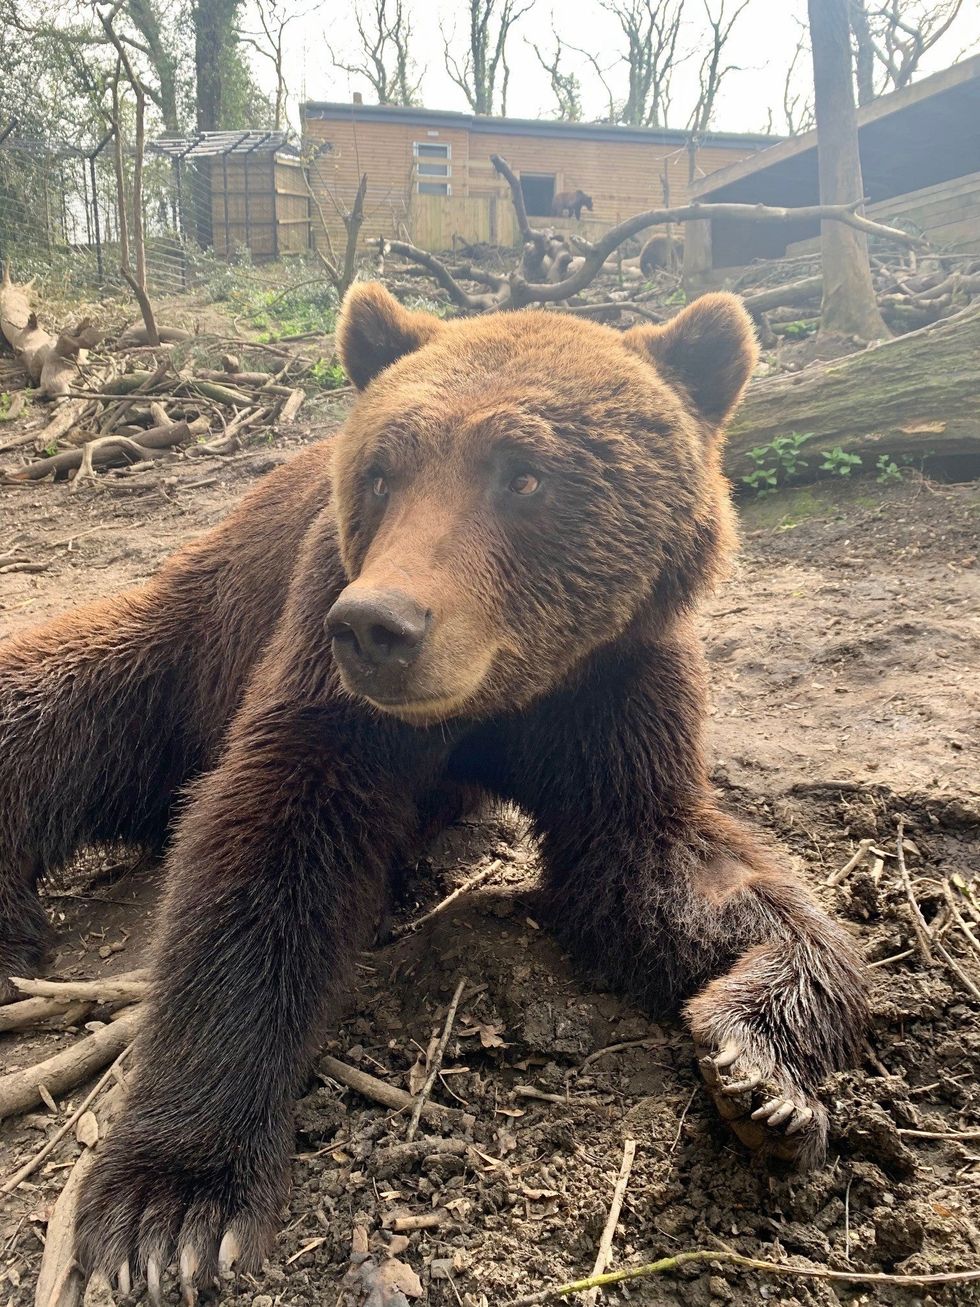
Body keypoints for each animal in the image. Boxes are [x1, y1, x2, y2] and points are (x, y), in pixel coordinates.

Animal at [0, 284, 868, 1301]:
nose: (380, 625)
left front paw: (757, 1071)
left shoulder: (613, 683)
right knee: (54, 706)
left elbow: (663, 867)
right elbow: (261, 854)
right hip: (188, 643)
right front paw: (170, 1208)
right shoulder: (326, 667)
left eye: (524, 474)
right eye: (382, 473)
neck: (502, 695)